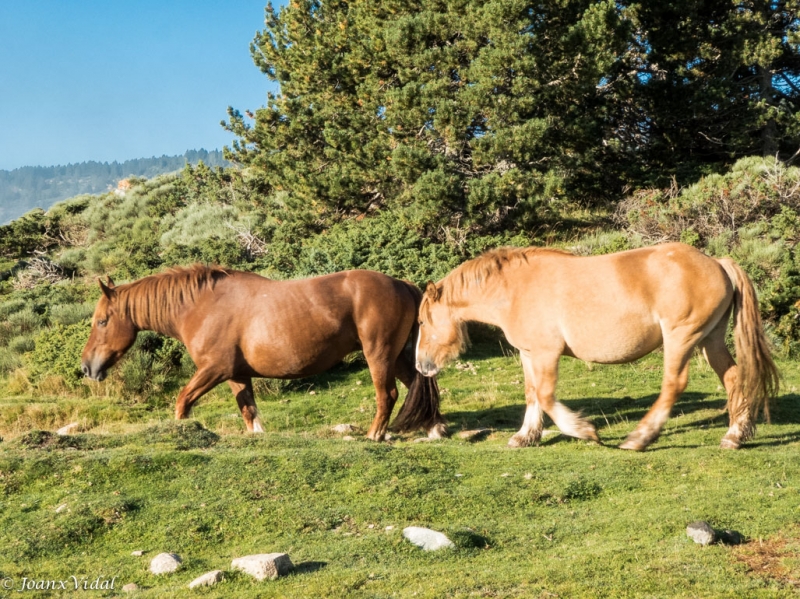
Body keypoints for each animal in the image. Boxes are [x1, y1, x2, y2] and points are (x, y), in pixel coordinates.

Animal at [82, 268, 446, 440]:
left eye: (101, 321)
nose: (87, 367)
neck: (202, 306)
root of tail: (402, 284)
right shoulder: (236, 375)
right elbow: (249, 412)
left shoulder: (214, 370)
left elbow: (182, 402)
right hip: (398, 357)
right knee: (420, 387)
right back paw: (434, 429)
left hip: (379, 355)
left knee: (388, 394)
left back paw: (374, 435)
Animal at [416, 243, 780, 450]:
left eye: (420, 322)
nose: (422, 365)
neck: (514, 290)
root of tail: (717, 263)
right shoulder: (529, 354)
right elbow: (532, 394)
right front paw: (525, 436)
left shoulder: (546, 353)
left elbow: (546, 396)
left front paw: (584, 430)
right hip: (710, 339)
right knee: (733, 378)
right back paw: (735, 435)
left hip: (682, 338)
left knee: (674, 385)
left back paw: (639, 438)